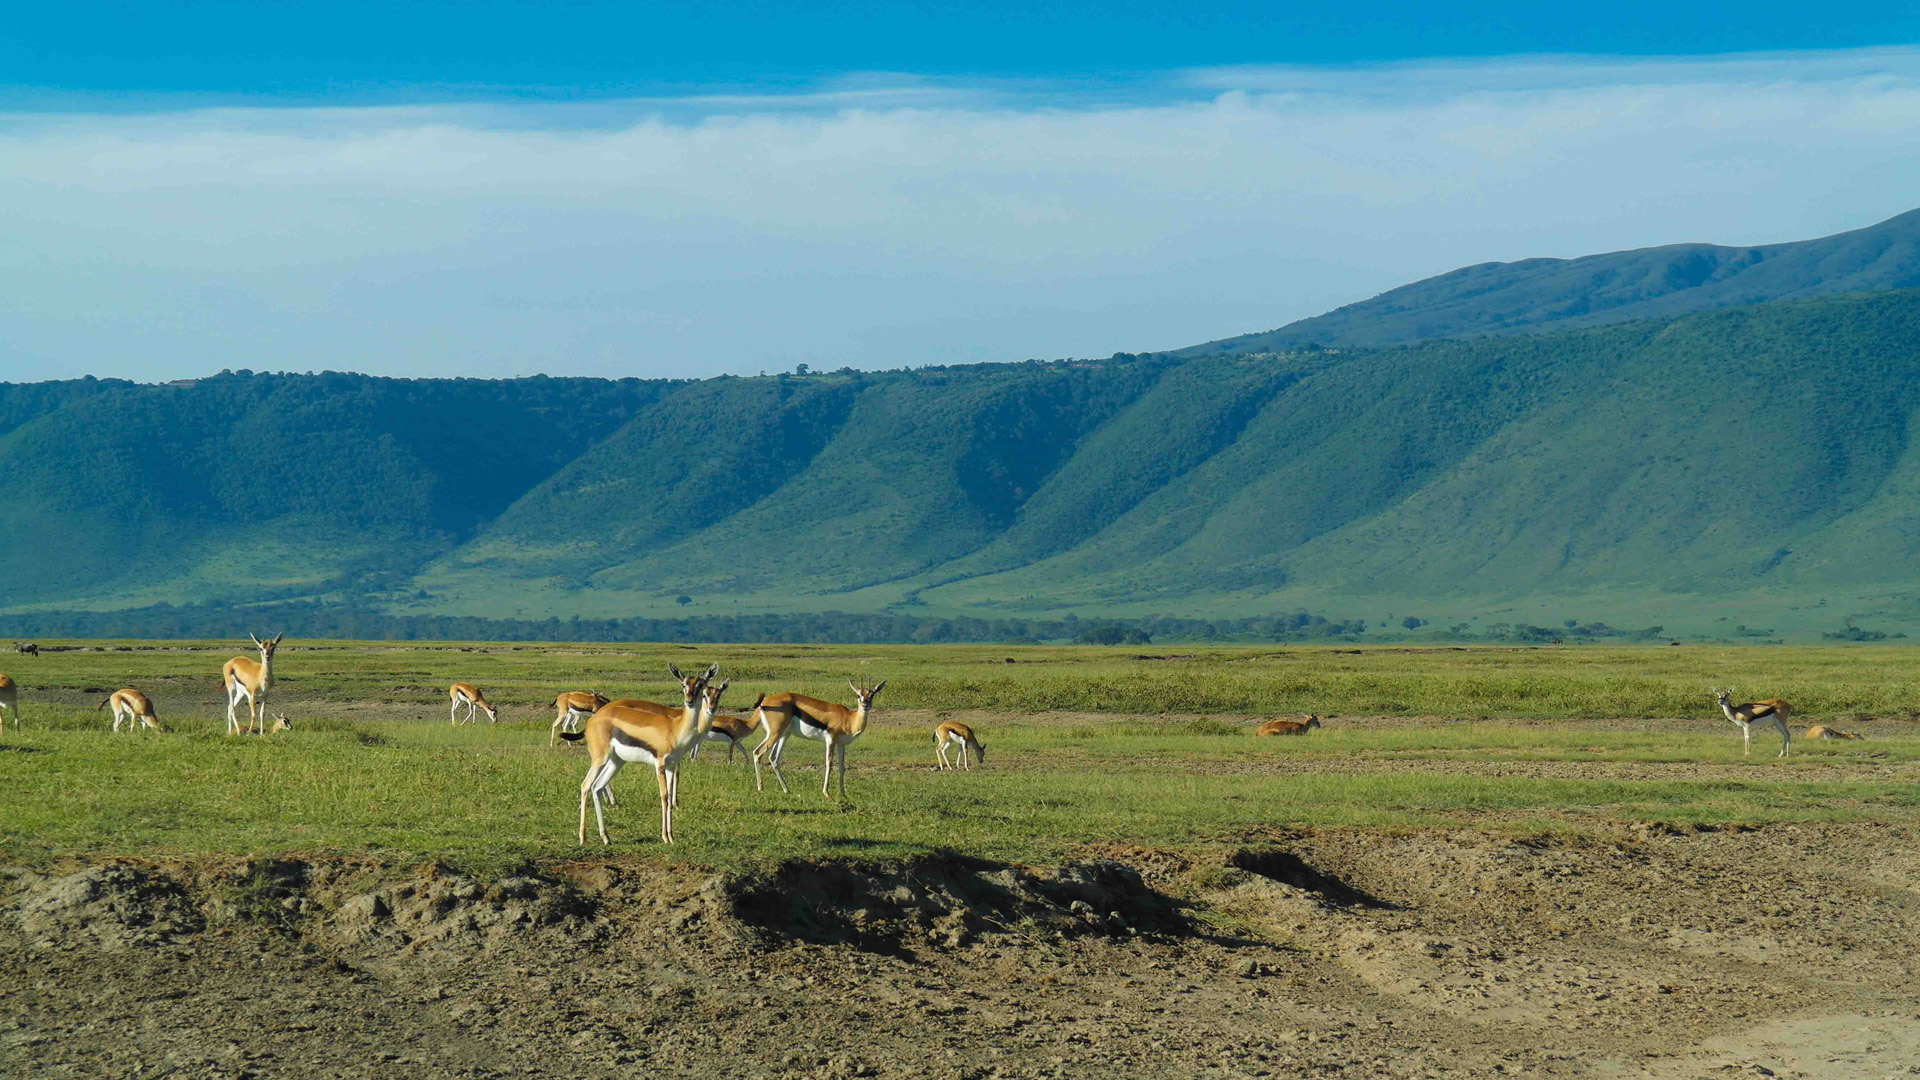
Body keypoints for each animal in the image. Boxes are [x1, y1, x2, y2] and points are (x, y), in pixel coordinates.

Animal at [564, 661, 721, 845]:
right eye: (684, 684)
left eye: (701, 685)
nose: (689, 701)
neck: (675, 728)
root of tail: (592, 720)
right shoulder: (659, 764)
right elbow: (664, 796)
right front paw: (665, 837)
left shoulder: (671, 765)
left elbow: (669, 797)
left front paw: (671, 836)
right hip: (599, 759)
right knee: (586, 785)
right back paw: (583, 837)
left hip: (616, 762)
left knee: (597, 786)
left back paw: (606, 837)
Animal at [748, 676, 883, 795]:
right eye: (858, 695)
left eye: (872, 695)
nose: (865, 706)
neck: (848, 718)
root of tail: (764, 701)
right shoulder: (830, 740)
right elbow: (829, 764)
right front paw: (826, 793)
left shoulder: (841, 744)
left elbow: (842, 766)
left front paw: (843, 794)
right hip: (775, 733)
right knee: (757, 752)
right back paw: (761, 788)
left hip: (784, 734)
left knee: (773, 758)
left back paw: (787, 790)